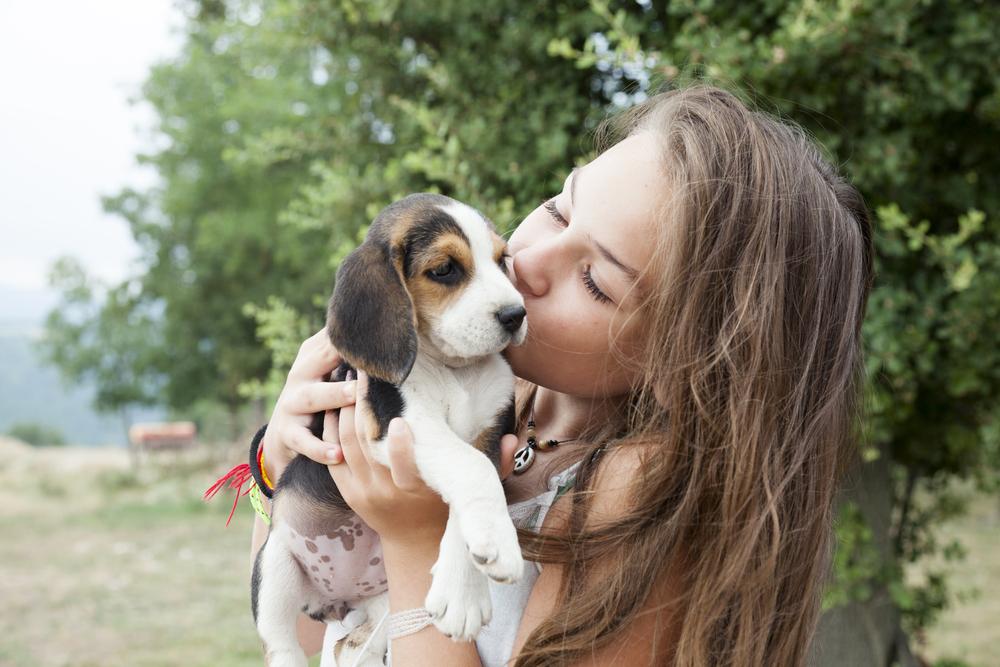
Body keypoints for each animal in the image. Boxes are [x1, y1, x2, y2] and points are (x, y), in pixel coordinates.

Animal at [254, 193, 528, 667]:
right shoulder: (402, 422)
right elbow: (472, 469)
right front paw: (496, 548)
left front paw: (462, 595)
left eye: (501, 260)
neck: (454, 369)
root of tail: (337, 601)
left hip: (379, 599)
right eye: (445, 269)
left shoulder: (490, 435)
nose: (517, 314)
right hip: (275, 564)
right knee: (280, 641)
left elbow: (475, 479)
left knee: (357, 642)